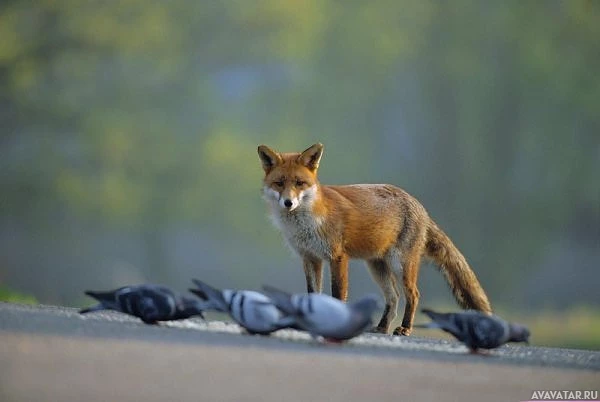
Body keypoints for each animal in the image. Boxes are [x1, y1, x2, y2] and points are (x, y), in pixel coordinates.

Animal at [258, 143, 492, 334]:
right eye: (279, 183)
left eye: (299, 183)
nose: (288, 203)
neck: (306, 223)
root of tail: (419, 205)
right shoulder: (310, 258)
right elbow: (312, 295)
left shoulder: (337, 256)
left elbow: (337, 294)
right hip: (377, 266)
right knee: (394, 297)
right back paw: (381, 327)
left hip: (400, 264)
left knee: (413, 294)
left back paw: (404, 329)